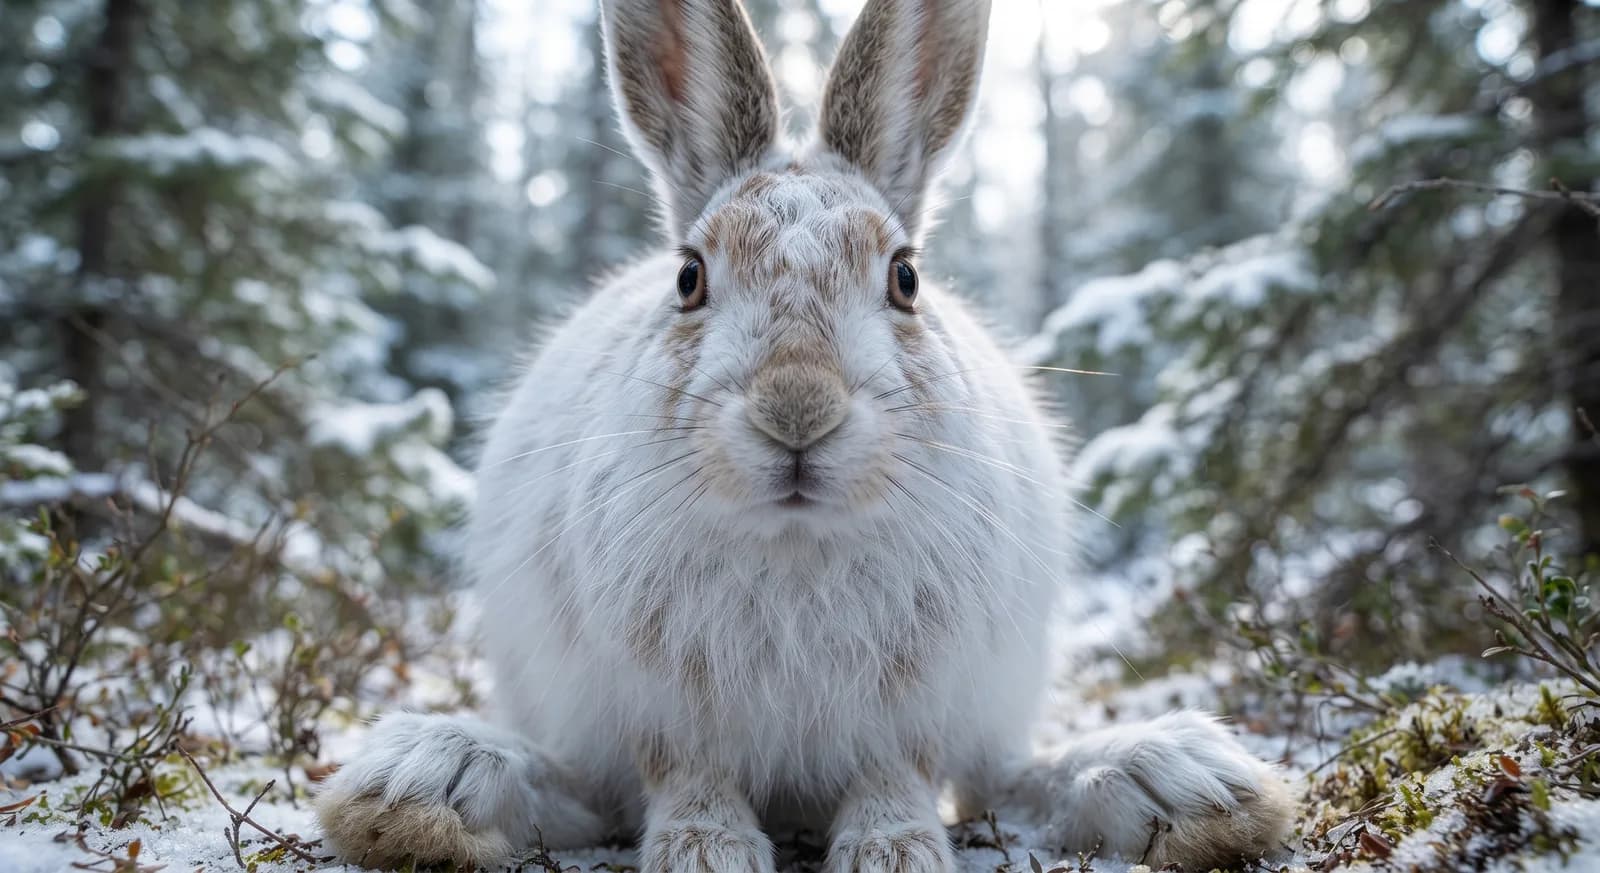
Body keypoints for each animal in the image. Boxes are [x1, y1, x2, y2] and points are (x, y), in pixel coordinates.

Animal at [312, 0, 1295, 870]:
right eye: (688, 276)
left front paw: (893, 853)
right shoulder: (664, 712)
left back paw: (1184, 783)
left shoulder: (912, 710)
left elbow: (896, 775)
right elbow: (688, 775)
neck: (795, 539)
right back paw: (424, 783)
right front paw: (704, 853)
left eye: (905, 278)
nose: (796, 410)